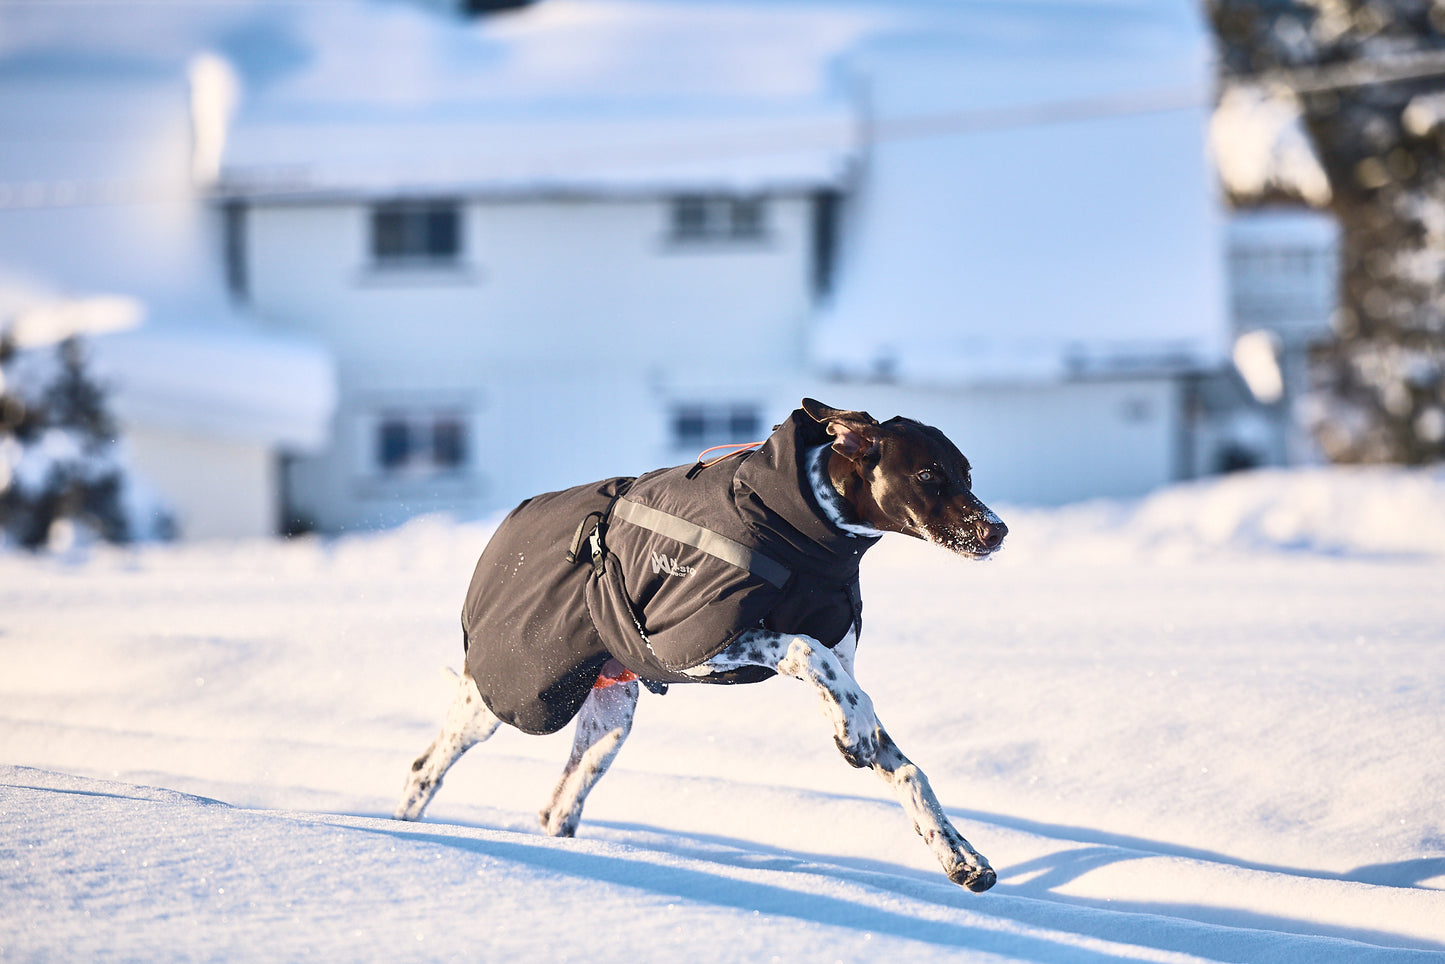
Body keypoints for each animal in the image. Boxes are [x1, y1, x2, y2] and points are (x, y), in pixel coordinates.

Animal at [395, 398, 1005, 890]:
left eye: (967, 473)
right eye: (928, 473)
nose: (997, 530)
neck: (808, 533)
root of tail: (500, 534)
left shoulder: (829, 662)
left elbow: (903, 765)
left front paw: (960, 855)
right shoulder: (695, 644)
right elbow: (810, 651)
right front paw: (852, 728)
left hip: (609, 720)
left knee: (557, 805)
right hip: (501, 694)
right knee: (426, 767)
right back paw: (402, 833)